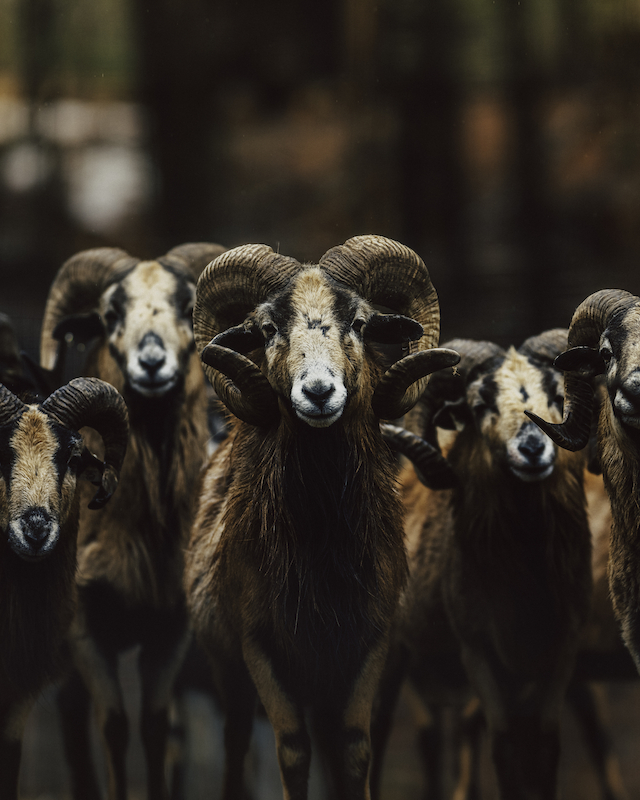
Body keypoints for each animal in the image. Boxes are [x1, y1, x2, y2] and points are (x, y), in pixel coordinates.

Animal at [38, 241, 226, 800]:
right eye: (110, 313)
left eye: (188, 307)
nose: (151, 361)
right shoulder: (85, 625)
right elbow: (114, 726)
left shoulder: (170, 628)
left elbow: (155, 727)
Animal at [182, 233, 458, 800]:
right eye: (268, 329)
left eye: (359, 322)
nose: (318, 392)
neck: (321, 540)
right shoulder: (261, 648)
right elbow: (292, 751)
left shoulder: (368, 646)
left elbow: (355, 751)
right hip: (228, 677)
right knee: (236, 746)